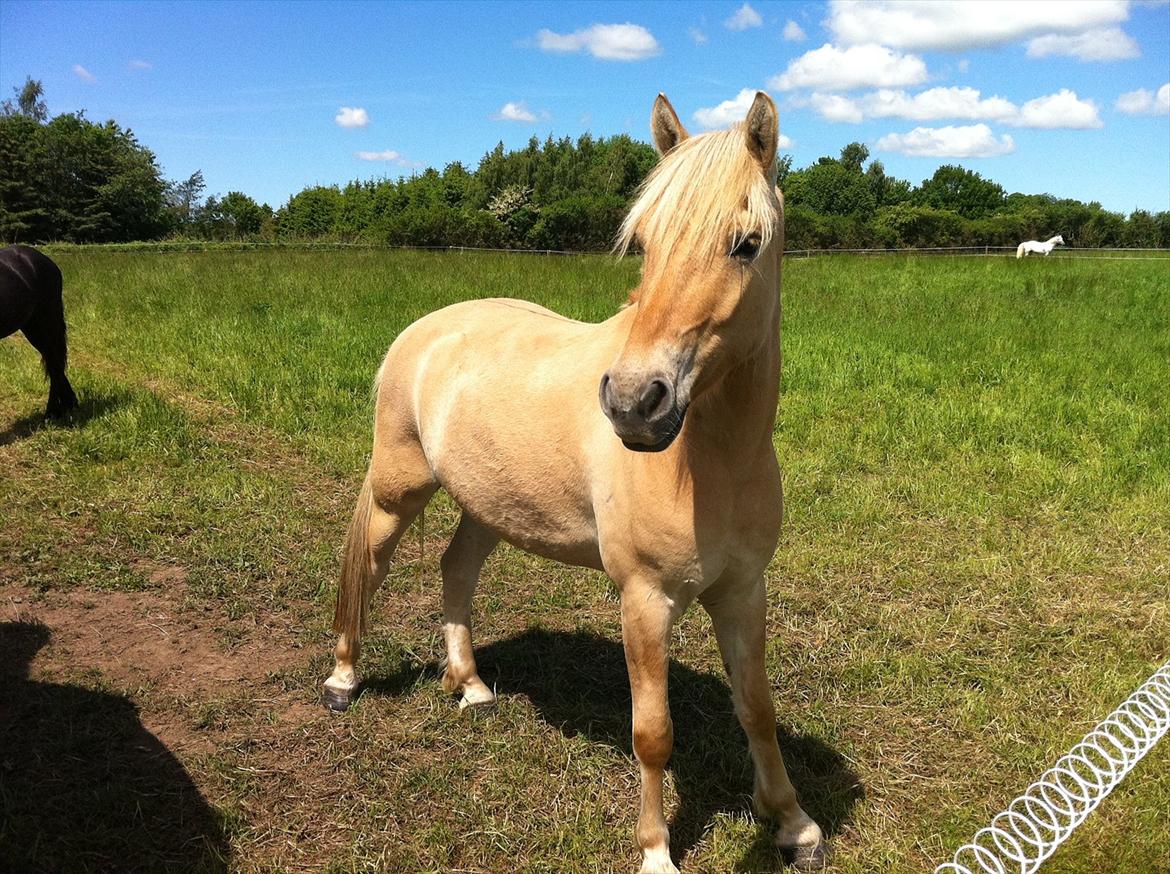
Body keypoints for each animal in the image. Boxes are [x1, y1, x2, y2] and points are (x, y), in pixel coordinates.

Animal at [0, 244, 78, 418]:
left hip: (46, 323)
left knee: (54, 362)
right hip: (32, 327)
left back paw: (53, 412)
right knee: (53, 361)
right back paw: (69, 403)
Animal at [325, 92, 828, 870]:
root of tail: (426, 329)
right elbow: (653, 731)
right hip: (396, 491)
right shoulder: (645, 601)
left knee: (456, 569)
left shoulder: (744, 591)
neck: (711, 463)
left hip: (489, 506)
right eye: (645, 241)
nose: (633, 402)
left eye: (746, 243)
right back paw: (344, 679)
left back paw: (471, 686)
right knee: (371, 566)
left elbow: (758, 709)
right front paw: (656, 850)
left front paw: (793, 824)